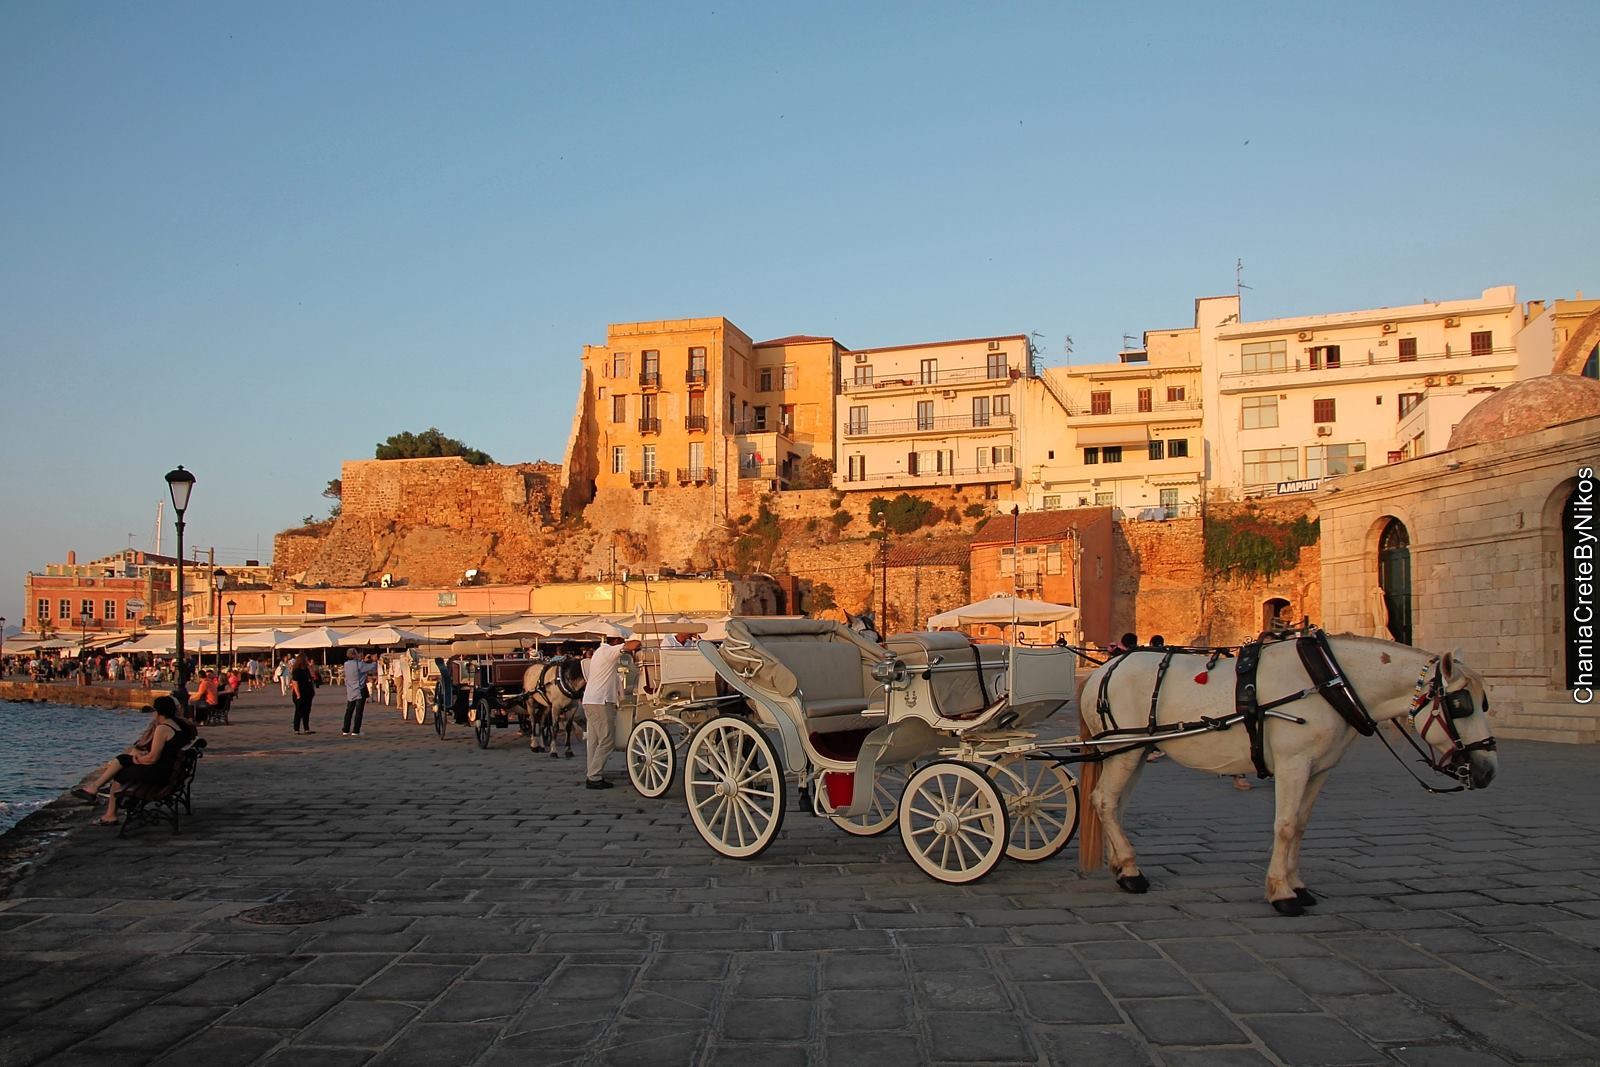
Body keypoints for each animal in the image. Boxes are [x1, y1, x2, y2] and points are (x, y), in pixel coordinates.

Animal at [1081, 633, 1491, 921]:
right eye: (1460, 705)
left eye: (1486, 703)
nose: (1487, 770)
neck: (1330, 683)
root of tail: (1102, 671)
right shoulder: (1295, 762)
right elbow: (1286, 825)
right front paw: (1282, 894)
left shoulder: (1319, 768)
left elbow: (1302, 826)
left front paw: (1298, 886)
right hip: (1125, 747)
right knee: (1104, 800)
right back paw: (1131, 872)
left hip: (1134, 750)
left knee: (1115, 804)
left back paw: (1121, 863)